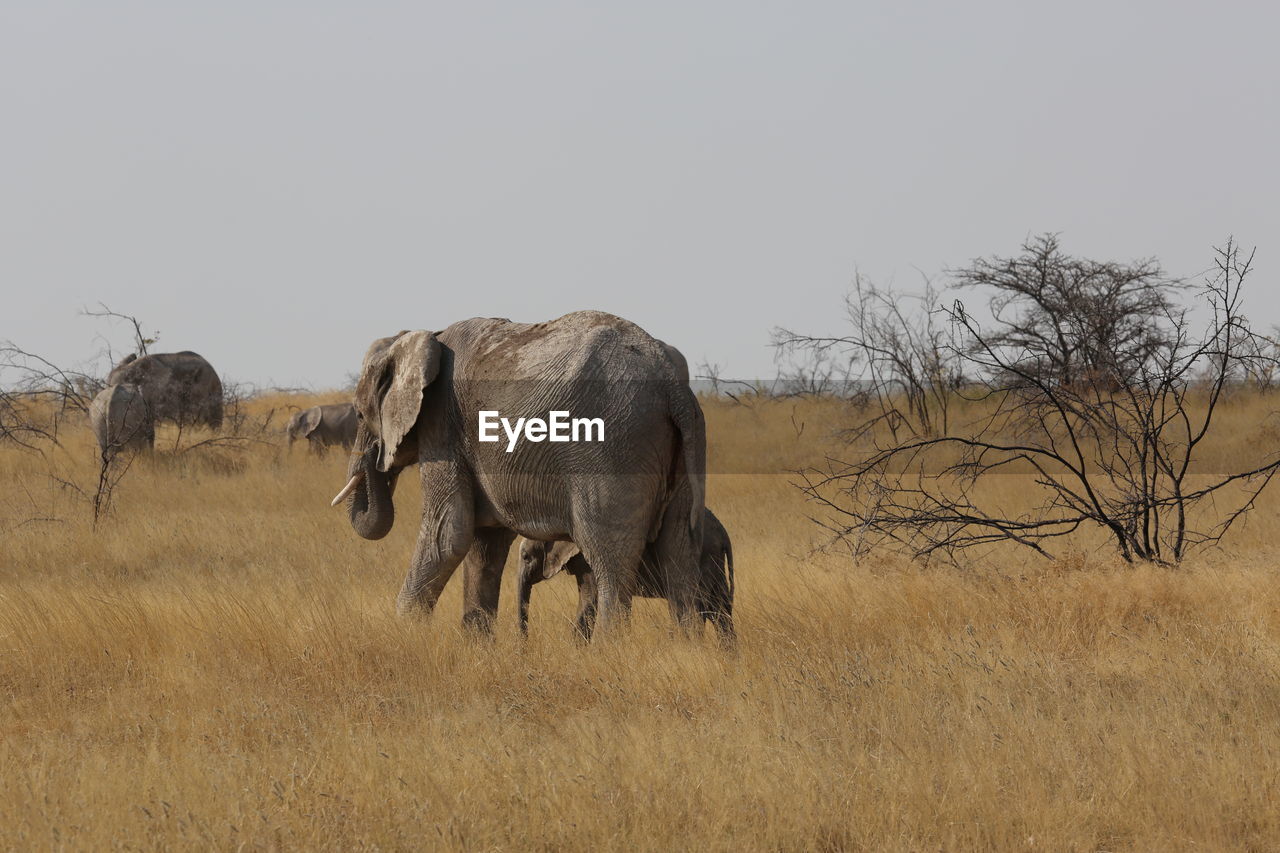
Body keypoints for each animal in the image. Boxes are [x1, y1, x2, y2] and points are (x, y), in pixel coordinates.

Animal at [330, 308, 706, 635]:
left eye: (360, 414)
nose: (374, 457)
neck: (426, 338)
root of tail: (673, 385)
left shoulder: (443, 425)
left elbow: (448, 533)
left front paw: (405, 634)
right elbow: (485, 545)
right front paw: (476, 648)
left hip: (612, 444)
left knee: (610, 557)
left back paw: (607, 649)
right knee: (679, 550)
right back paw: (686, 647)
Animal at [509, 504, 732, 637]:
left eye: (526, 557)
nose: (525, 647)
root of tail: (723, 532)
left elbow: (590, 598)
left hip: (704, 556)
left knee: (706, 609)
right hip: (714, 563)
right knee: (721, 611)